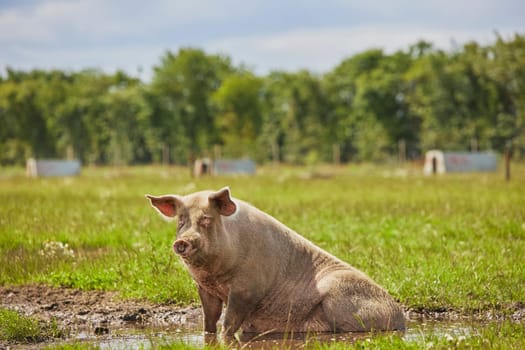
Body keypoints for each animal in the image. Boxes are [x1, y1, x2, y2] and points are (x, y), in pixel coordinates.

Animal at [145, 186, 408, 336]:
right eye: (181, 220)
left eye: (207, 219)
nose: (183, 241)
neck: (214, 275)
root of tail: (400, 315)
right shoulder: (205, 289)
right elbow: (209, 319)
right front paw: (208, 336)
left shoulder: (247, 288)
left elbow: (229, 323)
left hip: (339, 296)